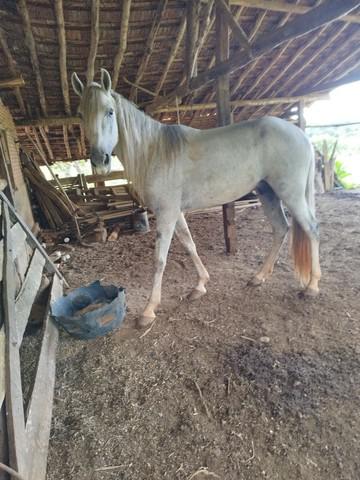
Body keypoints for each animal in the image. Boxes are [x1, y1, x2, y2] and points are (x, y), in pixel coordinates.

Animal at [71, 69, 320, 328]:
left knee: (311, 228)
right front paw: (200, 286)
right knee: (281, 228)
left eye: (110, 111)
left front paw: (149, 310)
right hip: (267, 193)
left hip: (290, 193)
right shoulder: (175, 212)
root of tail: (300, 134)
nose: (99, 161)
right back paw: (258, 277)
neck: (154, 152)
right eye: (80, 114)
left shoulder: (166, 214)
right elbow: (190, 244)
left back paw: (312, 287)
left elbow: (159, 259)